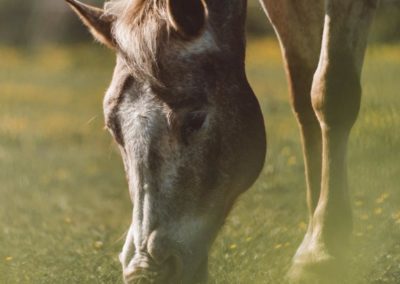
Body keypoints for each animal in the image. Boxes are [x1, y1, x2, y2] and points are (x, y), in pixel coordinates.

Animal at [66, 0, 378, 282]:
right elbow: (304, 96)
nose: (144, 271)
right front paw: (315, 238)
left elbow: (330, 92)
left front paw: (322, 252)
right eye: (113, 128)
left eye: (195, 119)